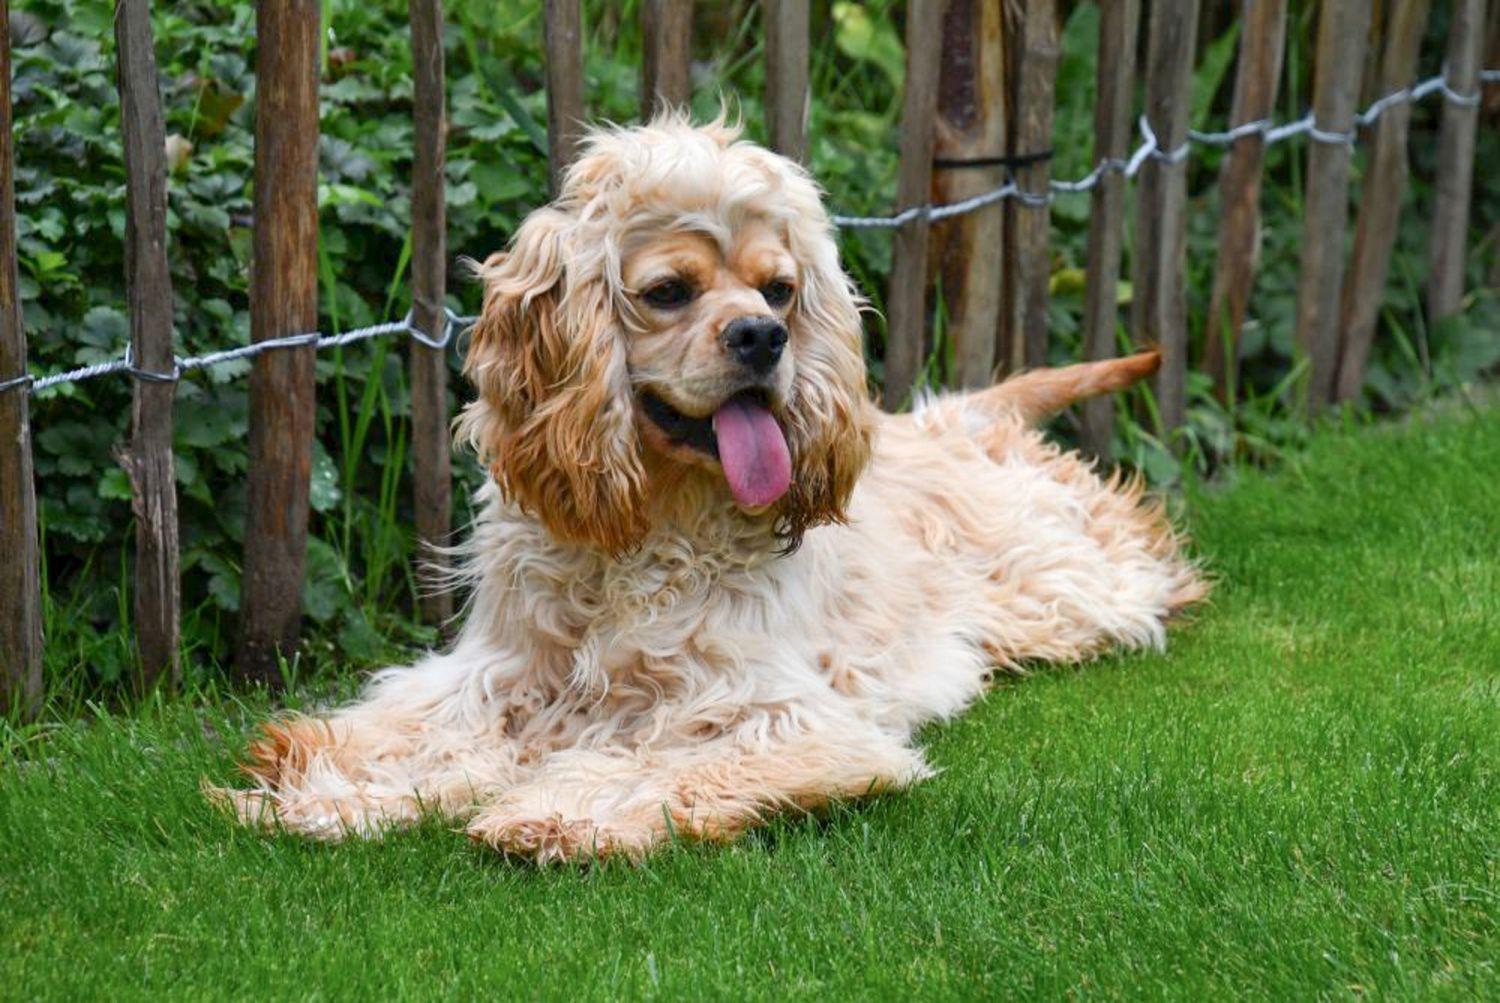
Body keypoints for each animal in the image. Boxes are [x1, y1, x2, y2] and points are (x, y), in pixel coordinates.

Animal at [211, 115, 1200, 863]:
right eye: (668, 291)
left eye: (781, 288)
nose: (763, 337)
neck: (652, 525)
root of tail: (946, 416)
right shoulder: (498, 670)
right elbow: (416, 733)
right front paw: (333, 793)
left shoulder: (772, 712)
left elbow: (656, 764)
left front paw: (559, 812)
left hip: (1064, 582)